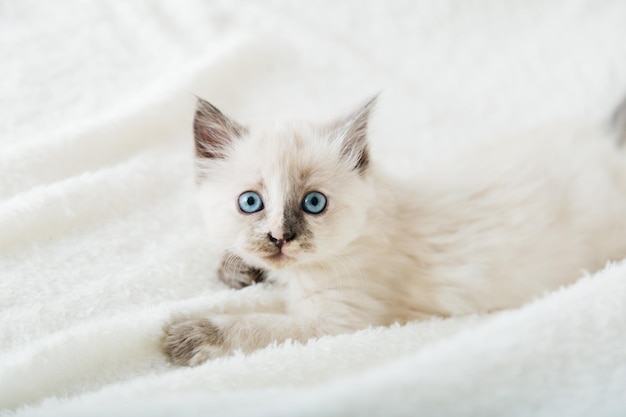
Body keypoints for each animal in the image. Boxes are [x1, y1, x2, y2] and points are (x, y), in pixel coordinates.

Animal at [162, 94, 624, 364]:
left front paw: (186, 336)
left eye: (313, 203)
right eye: (250, 203)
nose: (280, 238)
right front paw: (239, 270)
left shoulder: (336, 323)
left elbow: (257, 326)